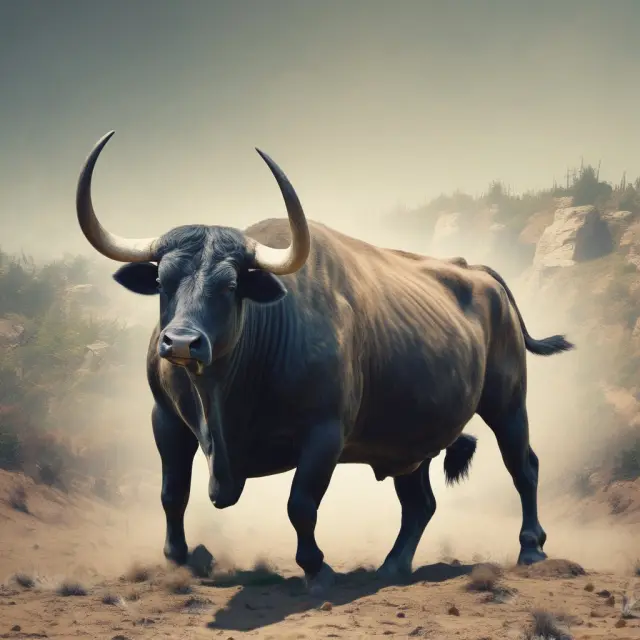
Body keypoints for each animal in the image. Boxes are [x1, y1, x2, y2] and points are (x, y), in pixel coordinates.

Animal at [75, 131, 574, 594]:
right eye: (162, 280)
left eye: (231, 285)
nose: (181, 342)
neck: (220, 397)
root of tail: (477, 272)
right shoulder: (166, 419)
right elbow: (172, 492)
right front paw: (180, 558)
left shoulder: (325, 432)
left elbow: (300, 504)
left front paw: (317, 568)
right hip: (411, 435)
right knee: (420, 503)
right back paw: (393, 566)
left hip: (507, 401)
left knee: (523, 465)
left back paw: (531, 547)